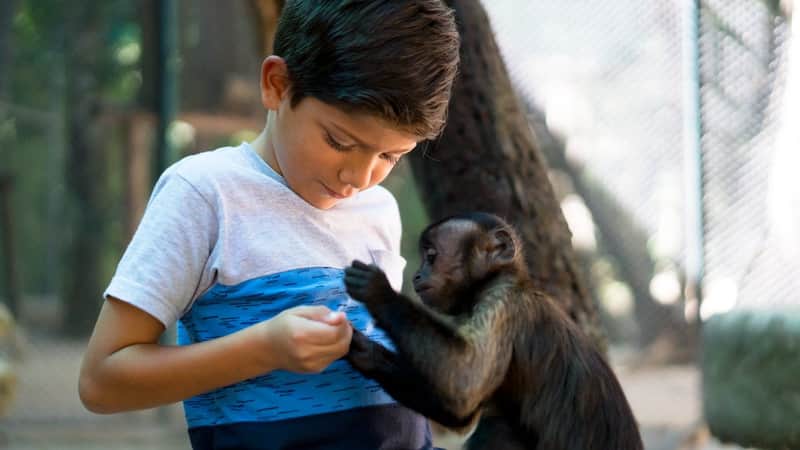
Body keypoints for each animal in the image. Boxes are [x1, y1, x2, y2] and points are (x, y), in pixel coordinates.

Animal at [344, 212, 643, 450]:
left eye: (431, 256)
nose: (417, 275)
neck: (500, 279)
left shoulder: (500, 302)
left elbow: (464, 381)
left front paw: (379, 292)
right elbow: (459, 411)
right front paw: (365, 352)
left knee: (493, 428)